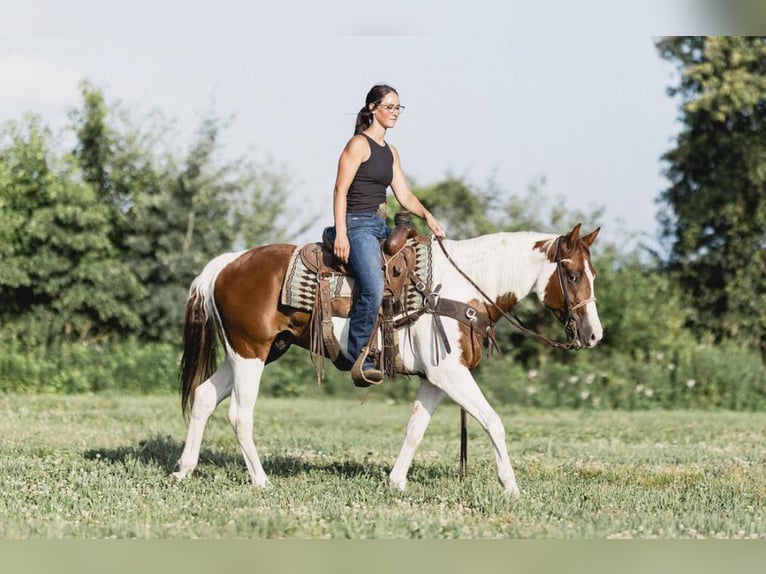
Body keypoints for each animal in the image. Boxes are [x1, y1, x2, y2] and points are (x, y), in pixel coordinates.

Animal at [174, 223, 608, 498]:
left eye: (594, 274)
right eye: (571, 274)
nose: (594, 334)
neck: (459, 288)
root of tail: (226, 264)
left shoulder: (434, 379)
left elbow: (415, 428)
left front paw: (395, 482)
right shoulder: (450, 374)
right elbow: (493, 421)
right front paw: (511, 487)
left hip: (255, 351)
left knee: (204, 397)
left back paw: (184, 469)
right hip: (250, 352)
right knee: (239, 415)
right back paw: (261, 481)